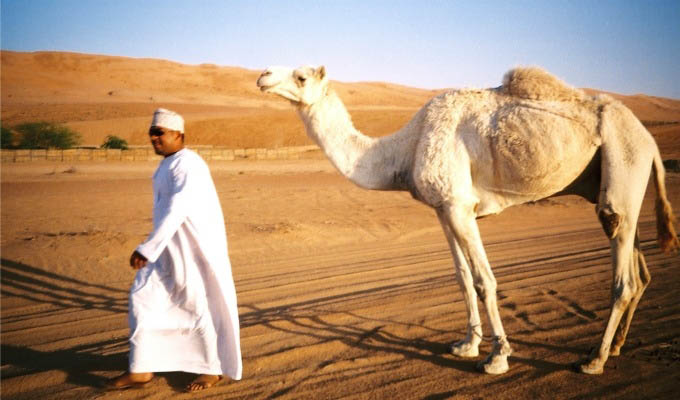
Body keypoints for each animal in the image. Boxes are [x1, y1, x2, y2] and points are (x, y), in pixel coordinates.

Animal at [256, 65, 680, 376]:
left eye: (301, 76)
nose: (262, 76)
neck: (407, 149)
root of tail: (650, 141)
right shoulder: (444, 208)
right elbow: (461, 278)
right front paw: (466, 345)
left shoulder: (461, 206)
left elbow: (484, 280)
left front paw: (497, 357)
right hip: (619, 188)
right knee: (640, 270)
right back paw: (615, 346)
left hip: (621, 167)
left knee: (624, 279)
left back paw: (594, 360)